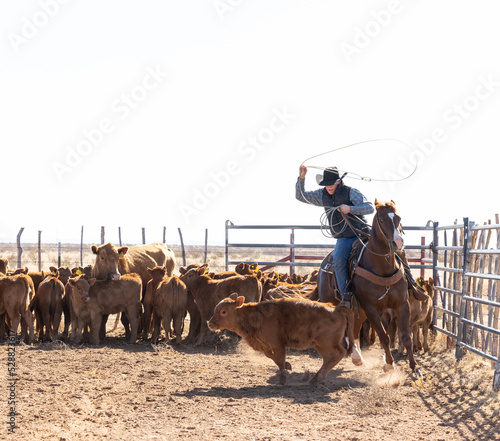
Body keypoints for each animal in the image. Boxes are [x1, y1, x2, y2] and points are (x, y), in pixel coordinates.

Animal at [209, 296, 354, 384]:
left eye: (223, 311)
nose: (210, 324)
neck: (255, 316)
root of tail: (336, 309)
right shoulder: (266, 345)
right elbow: (271, 356)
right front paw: (287, 365)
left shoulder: (277, 344)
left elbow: (279, 359)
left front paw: (282, 379)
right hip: (319, 345)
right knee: (328, 358)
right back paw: (315, 378)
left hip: (327, 342)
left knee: (339, 353)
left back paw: (319, 377)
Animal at [352, 199, 418, 372]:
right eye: (381, 220)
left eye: (399, 218)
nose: (398, 243)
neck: (383, 268)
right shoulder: (371, 309)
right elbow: (384, 337)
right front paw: (389, 364)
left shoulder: (402, 305)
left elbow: (406, 337)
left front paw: (415, 367)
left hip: (360, 310)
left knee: (355, 326)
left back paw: (358, 357)